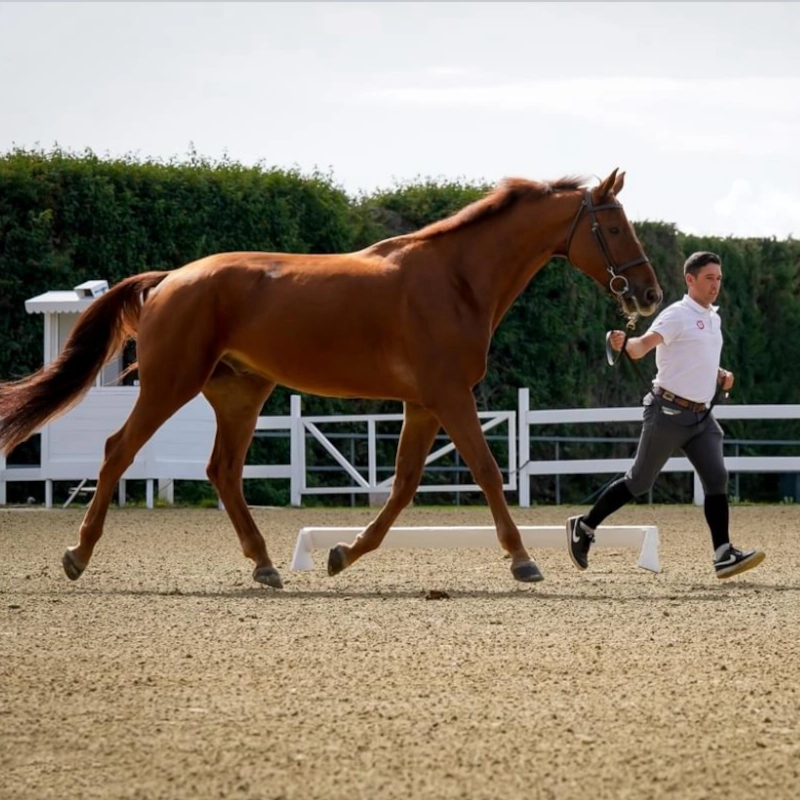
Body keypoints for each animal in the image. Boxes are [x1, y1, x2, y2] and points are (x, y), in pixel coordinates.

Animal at [0, 168, 662, 588]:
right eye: (615, 227)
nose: (649, 294)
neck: (456, 280)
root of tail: (169, 279)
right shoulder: (449, 397)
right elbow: (486, 471)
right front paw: (523, 560)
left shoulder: (424, 405)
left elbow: (402, 487)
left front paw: (343, 553)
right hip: (171, 384)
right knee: (118, 452)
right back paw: (78, 555)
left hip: (240, 394)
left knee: (223, 471)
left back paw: (265, 565)